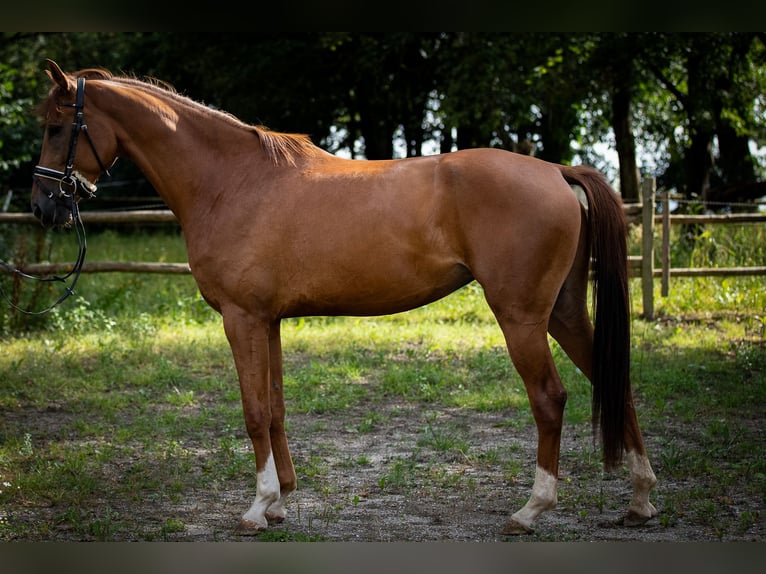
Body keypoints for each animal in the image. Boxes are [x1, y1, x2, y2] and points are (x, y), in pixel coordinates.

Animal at [31, 60, 660, 536]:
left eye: (58, 128)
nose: (43, 207)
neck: (231, 182)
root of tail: (555, 171)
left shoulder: (241, 319)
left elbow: (253, 412)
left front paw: (257, 509)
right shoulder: (268, 321)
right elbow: (275, 409)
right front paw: (280, 501)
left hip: (522, 317)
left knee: (550, 399)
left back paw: (531, 511)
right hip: (564, 312)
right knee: (615, 380)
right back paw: (640, 500)